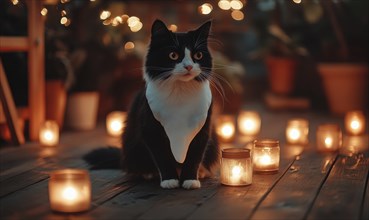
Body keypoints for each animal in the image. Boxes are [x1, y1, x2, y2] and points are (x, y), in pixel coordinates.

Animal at [83, 19, 218, 190]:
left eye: (198, 55)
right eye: (173, 55)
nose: (188, 66)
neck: (180, 93)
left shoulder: (203, 128)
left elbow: (194, 157)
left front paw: (190, 179)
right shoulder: (150, 128)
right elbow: (162, 156)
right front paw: (169, 180)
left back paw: (201, 171)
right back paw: (148, 173)